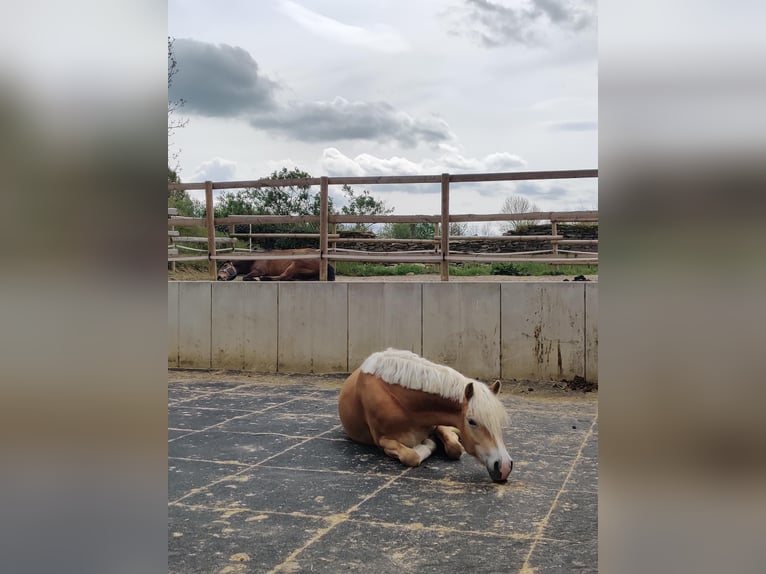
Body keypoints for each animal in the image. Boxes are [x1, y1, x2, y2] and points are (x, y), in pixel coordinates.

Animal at [340, 348, 512, 484]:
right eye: (472, 421)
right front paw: (428, 444)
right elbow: (411, 456)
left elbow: (455, 448)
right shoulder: (383, 440)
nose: (504, 466)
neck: (403, 404)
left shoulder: (437, 424)